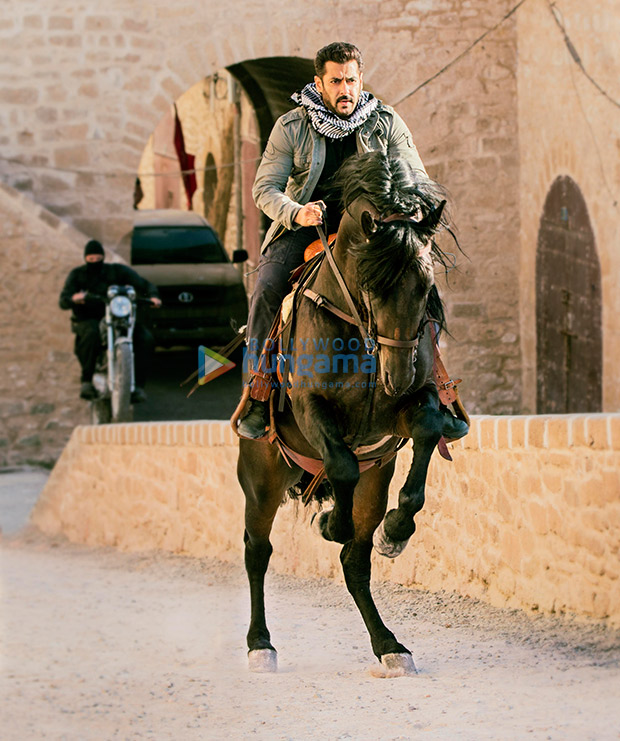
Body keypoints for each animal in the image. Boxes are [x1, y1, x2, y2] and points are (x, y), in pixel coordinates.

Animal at [237, 152, 456, 676]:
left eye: (426, 285)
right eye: (373, 284)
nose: (398, 372)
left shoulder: (408, 410)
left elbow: (427, 431)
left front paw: (396, 532)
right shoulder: (311, 408)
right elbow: (339, 463)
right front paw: (332, 522)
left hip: (375, 482)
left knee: (355, 563)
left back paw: (389, 645)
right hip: (260, 478)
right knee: (257, 551)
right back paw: (260, 644)